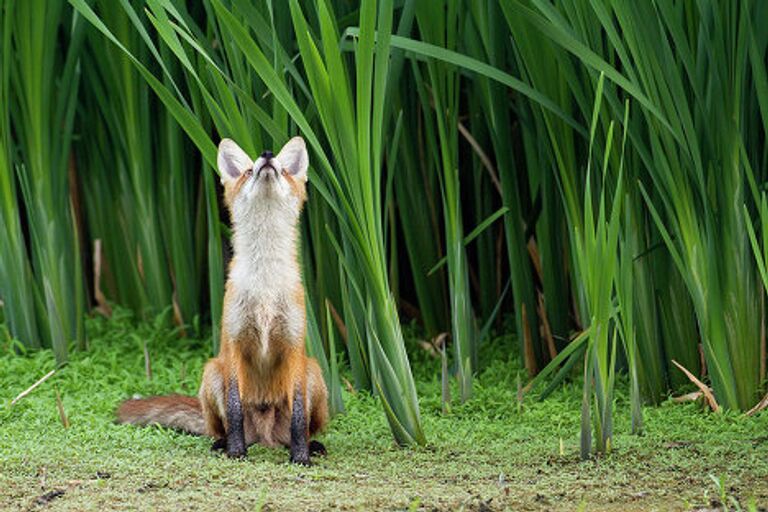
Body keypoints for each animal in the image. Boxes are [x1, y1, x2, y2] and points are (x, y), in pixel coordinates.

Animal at [118, 136, 328, 464]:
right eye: (247, 171)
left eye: (282, 170)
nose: (267, 155)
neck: (264, 287)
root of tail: (266, 436)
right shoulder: (234, 345)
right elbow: (234, 409)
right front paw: (236, 452)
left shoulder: (294, 348)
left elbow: (297, 417)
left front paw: (300, 457)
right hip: (212, 373)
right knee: (222, 426)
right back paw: (223, 443)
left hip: (314, 373)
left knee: (302, 427)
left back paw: (310, 445)